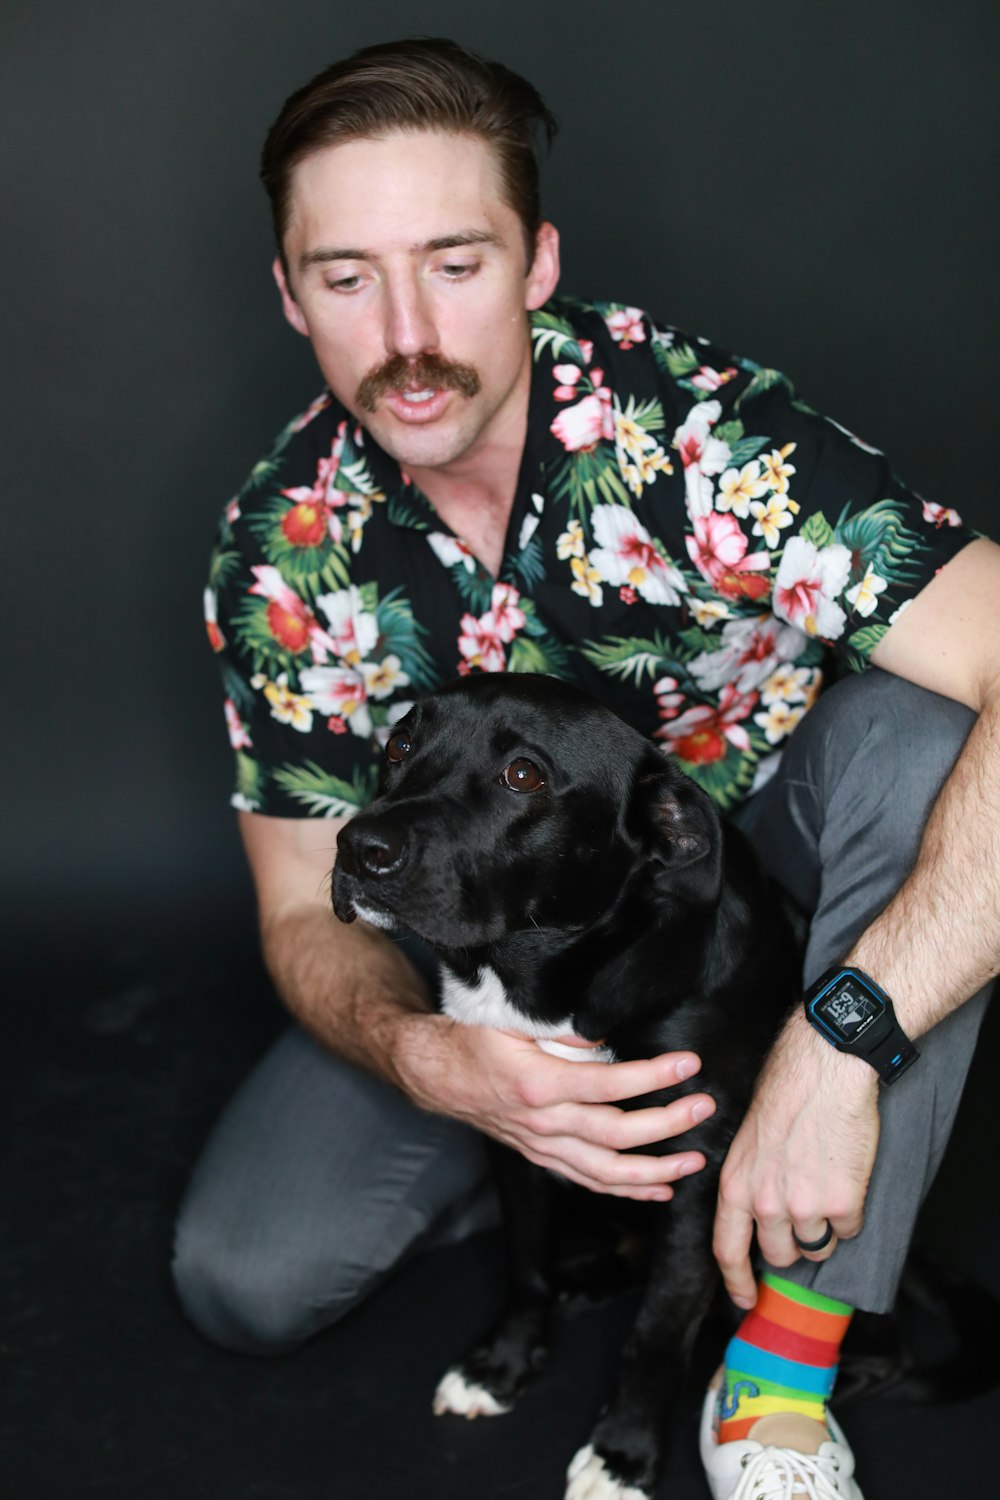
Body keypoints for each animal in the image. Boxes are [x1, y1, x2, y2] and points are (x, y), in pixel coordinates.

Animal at [332, 678, 803, 1500]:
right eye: (398, 743)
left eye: (524, 775)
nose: (360, 849)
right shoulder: (519, 1139)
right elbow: (525, 1266)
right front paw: (503, 1365)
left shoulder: (699, 1183)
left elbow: (658, 1333)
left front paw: (623, 1451)